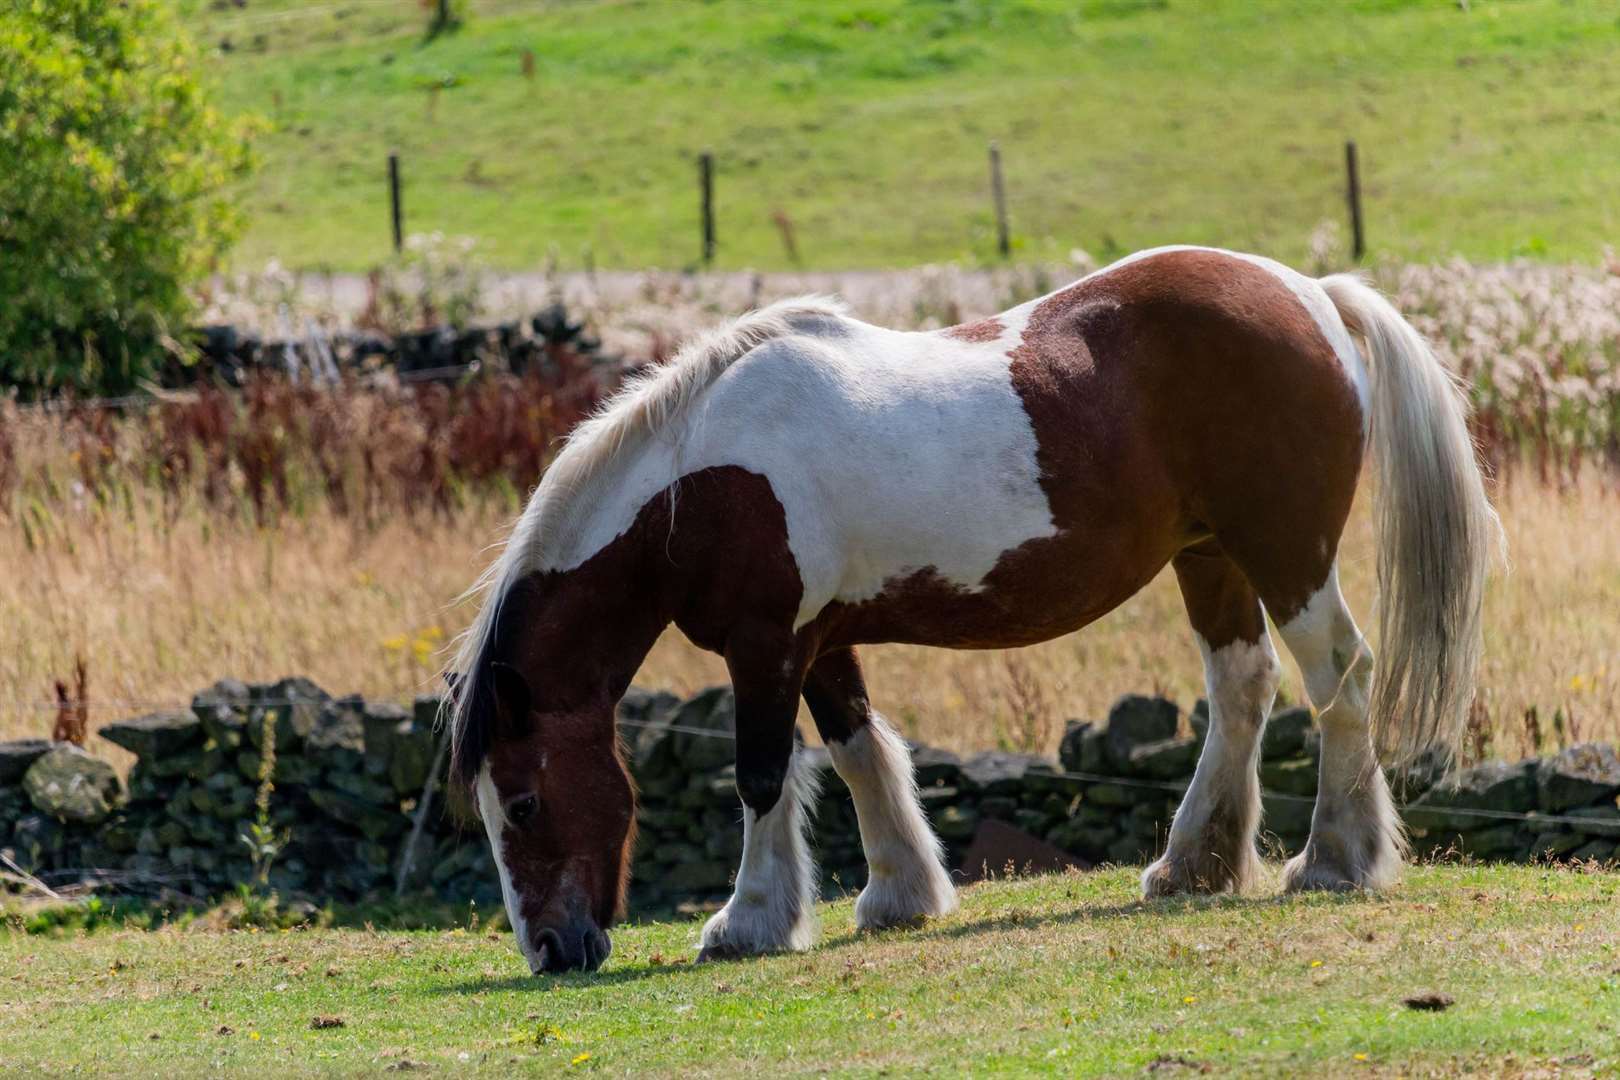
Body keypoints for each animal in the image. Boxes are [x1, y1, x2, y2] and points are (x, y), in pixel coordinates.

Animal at [443, 249, 1490, 977]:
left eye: (524, 802)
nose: (552, 949)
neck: (698, 481)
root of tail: (1312, 294)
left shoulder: (765, 646)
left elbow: (763, 775)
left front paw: (749, 921)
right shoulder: (821, 643)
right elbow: (858, 752)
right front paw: (899, 893)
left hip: (1285, 553)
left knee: (1340, 677)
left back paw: (1336, 859)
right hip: (1210, 557)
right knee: (1244, 687)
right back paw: (1192, 866)